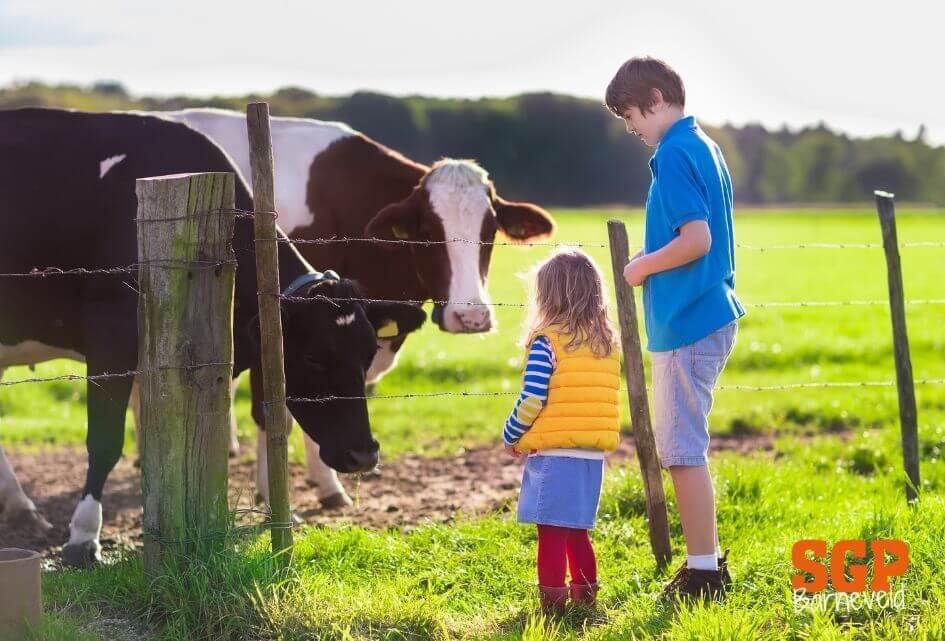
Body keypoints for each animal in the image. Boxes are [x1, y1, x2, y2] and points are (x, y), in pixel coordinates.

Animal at [0, 109, 424, 564]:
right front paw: (83, 536)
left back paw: (19, 506)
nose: (364, 453)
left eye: (368, 352)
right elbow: (105, 440)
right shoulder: (110, 335)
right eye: (313, 357)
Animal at [152, 110, 556, 508]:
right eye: (427, 232)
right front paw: (279, 495)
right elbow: (277, 413)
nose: (471, 316)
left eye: (490, 231)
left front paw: (326, 484)